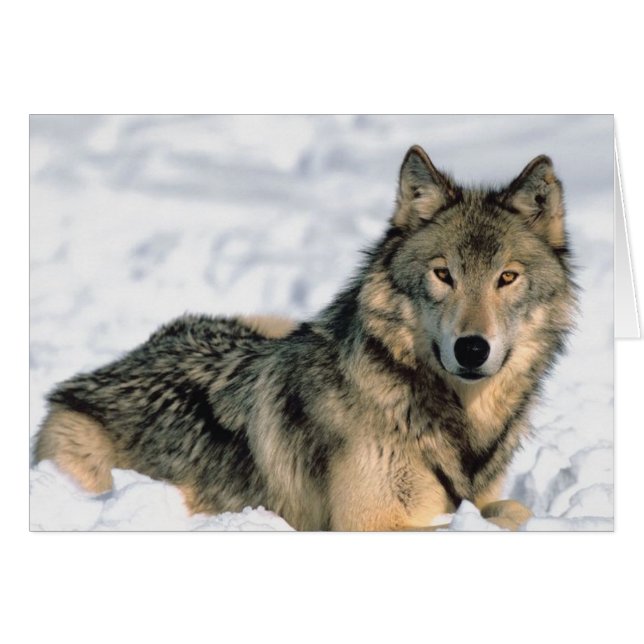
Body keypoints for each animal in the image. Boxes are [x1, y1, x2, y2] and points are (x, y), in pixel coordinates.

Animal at [34, 145, 576, 531]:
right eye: (444, 275)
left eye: (507, 278)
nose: (472, 348)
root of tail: (108, 368)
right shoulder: (370, 524)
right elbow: (506, 515)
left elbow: (507, 508)